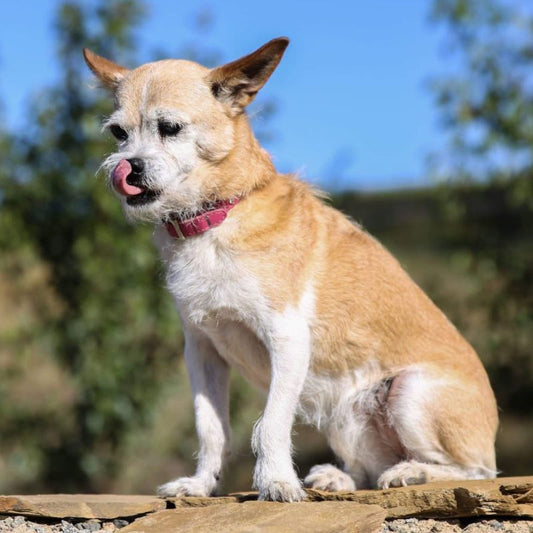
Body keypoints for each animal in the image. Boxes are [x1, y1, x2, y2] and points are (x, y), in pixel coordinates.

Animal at [84, 38, 498, 502]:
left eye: (169, 128)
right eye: (119, 133)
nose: (129, 166)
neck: (215, 218)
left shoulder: (287, 341)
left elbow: (270, 424)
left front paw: (276, 481)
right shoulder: (202, 352)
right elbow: (211, 429)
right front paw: (201, 484)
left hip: (408, 394)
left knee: (475, 471)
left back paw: (413, 472)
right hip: (346, 413)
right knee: (369, 469)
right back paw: (339, 478)